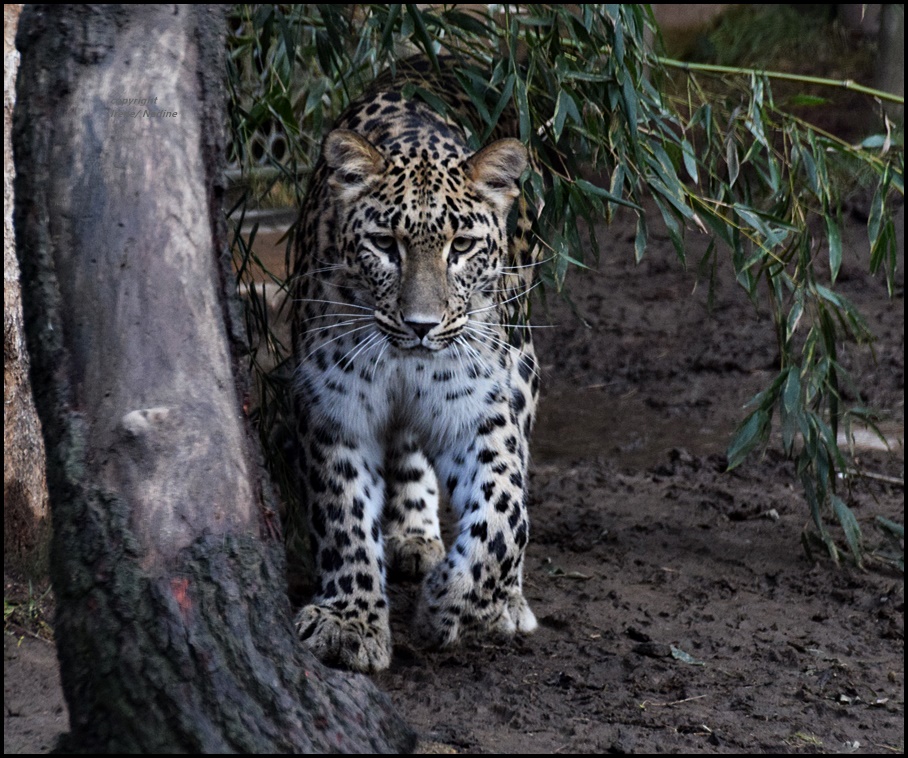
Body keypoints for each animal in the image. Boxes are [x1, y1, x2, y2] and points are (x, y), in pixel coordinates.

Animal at [292, 59, 540, 676]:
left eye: (463, 246)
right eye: (384, 244)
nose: (422, 324)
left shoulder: (481, 411)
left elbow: (504, 514)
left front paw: (453, 607)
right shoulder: (335, 407)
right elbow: (342, 515)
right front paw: (350, 622)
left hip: (522, 363)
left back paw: (507, 599)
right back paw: (411, 534)